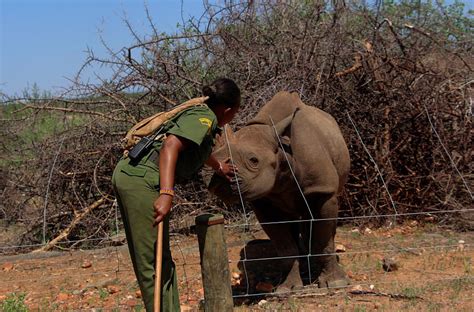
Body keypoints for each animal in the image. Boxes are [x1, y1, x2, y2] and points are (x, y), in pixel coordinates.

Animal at [209, 91, 350, 292]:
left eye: (253, 160)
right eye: (215, 161)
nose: (221, 180)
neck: (282, 152)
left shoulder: (322, 190)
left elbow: (322, 240)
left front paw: (336, 283)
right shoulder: (263, 201)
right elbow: (284, 246)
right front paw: (287, 289)